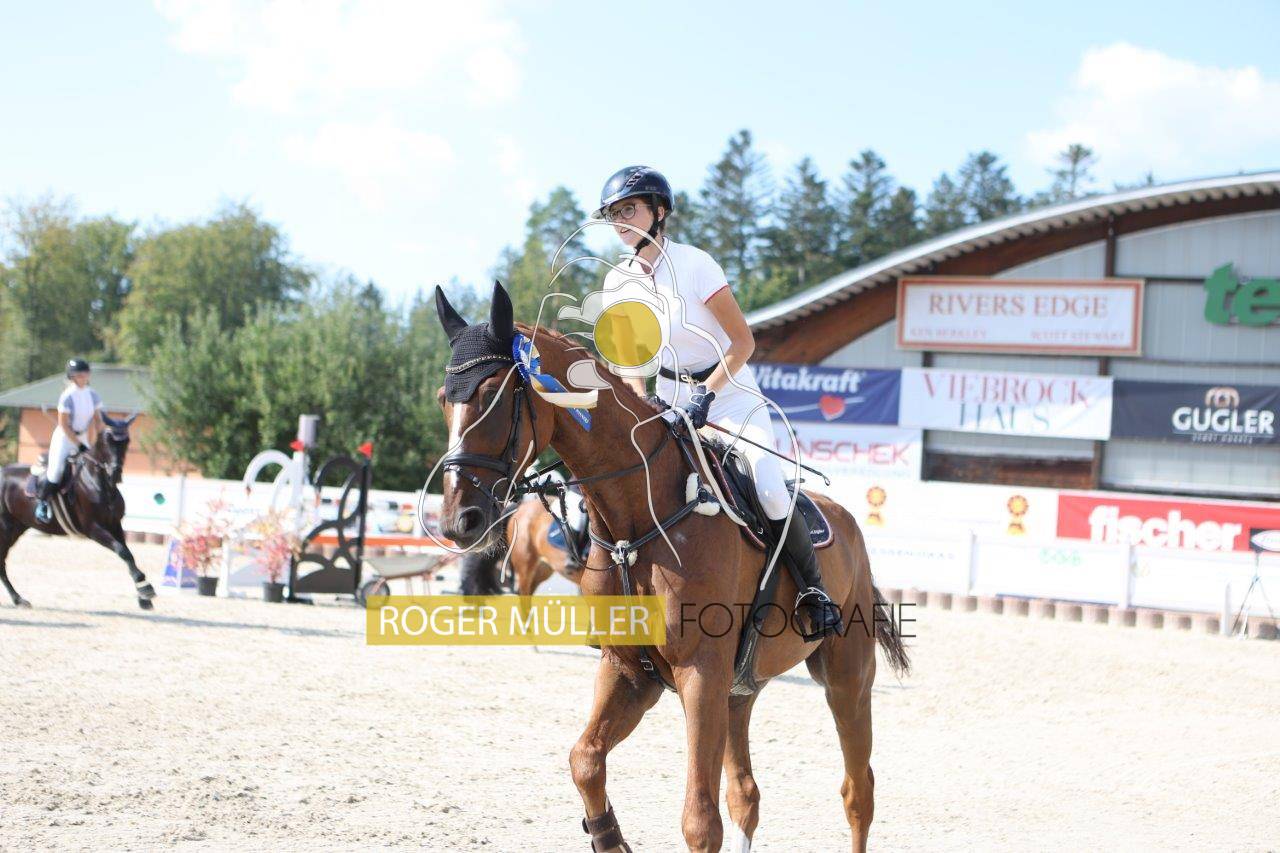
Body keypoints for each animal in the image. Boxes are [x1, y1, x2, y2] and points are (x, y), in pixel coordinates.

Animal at [0, 414, 157, 610]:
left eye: (126, 441)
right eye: (107, 440)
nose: (115, 473)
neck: (100, 484)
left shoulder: (114, 525)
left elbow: (129, 554)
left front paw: (144, 596)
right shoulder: (93, 529)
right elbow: (122, 551)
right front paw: (146, 590)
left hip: (16, 528)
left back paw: (18, 599)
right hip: (5, 529)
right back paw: (17, 599)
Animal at [431, 283, 908, 852]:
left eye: (493, 396)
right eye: (444, 400)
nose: (460, 519)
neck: (638, 521)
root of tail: (850, 523)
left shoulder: (699, 672)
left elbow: (699, 822)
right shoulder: (631, 671)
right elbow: (585, 760)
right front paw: (609, 836)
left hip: (846, 677)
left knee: (858, 792)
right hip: (739, 690)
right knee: (746, 794)